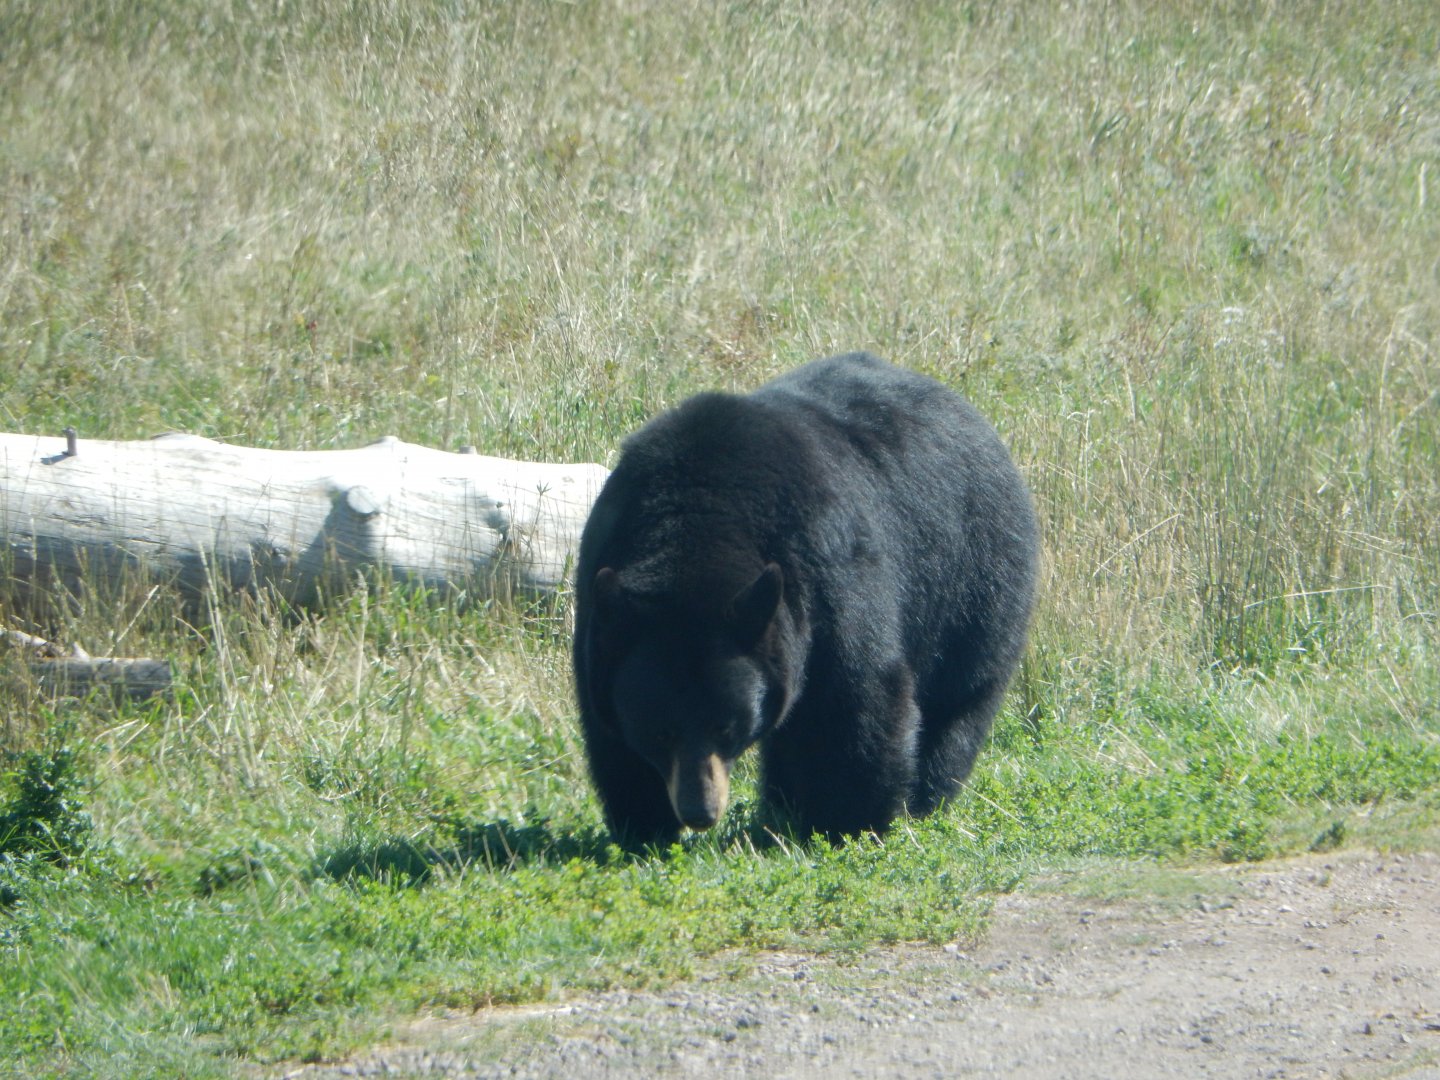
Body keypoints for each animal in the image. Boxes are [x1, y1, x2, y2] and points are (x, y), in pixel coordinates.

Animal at [572, 352, 1039, 846]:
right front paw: (646, 825)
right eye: (660, 732)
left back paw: (923, 800)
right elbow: (609, 733)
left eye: (727, 727)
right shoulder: (603, 595)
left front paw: (850, 820)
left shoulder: (821, 566)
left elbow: (856, 694)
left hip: (976, 581)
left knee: (957, 701)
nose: (700, 812)